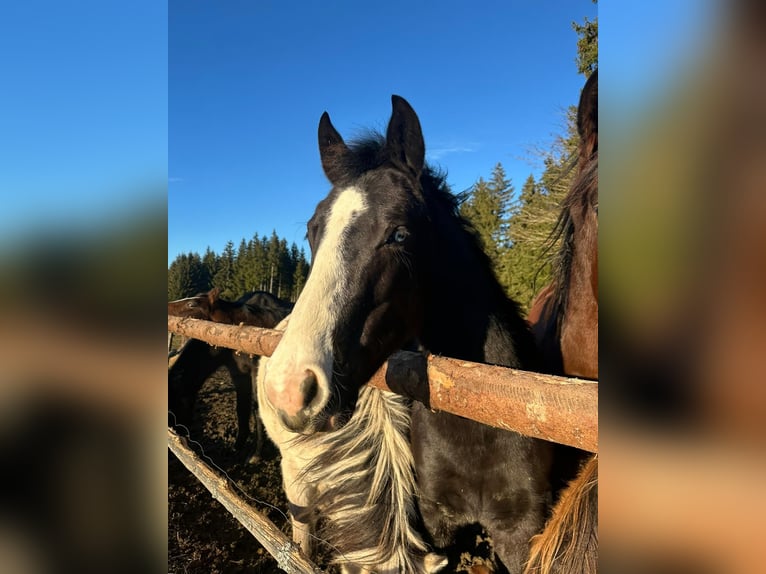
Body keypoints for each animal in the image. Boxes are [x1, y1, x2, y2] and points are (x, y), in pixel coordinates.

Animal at [167, 288, 292, 452]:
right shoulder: (238, 373)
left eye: (192, 304)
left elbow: (257, 409)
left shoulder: (256, 372)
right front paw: (238, 445)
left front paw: (257, 453)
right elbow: (241, 407)